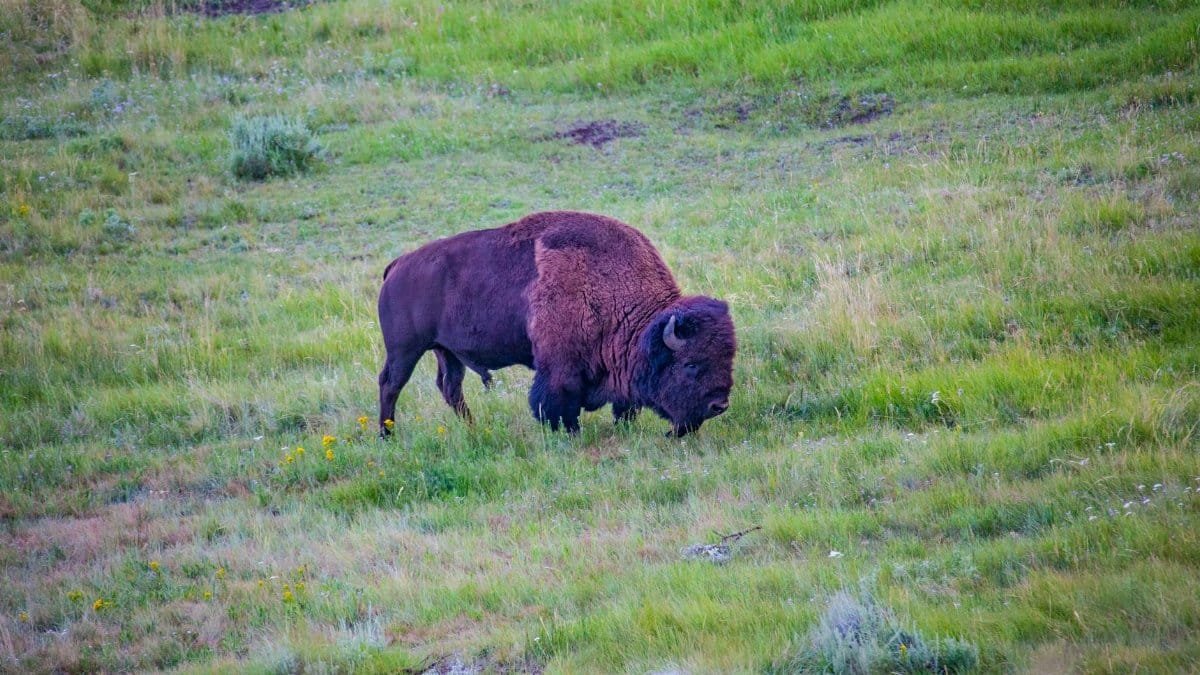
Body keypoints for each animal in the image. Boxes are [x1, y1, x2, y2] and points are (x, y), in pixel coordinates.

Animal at [377, 211, 736, 436]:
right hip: (405, 350)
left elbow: (623, 406)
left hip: (446, 352)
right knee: (391, 384)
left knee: (450, 388)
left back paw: (473, 428)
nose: (719, 405)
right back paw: (386, 435)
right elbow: (555, 405)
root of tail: (397, 265)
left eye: (728, 358)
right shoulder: (559, 368)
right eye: (691, 364)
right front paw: (569, 434)